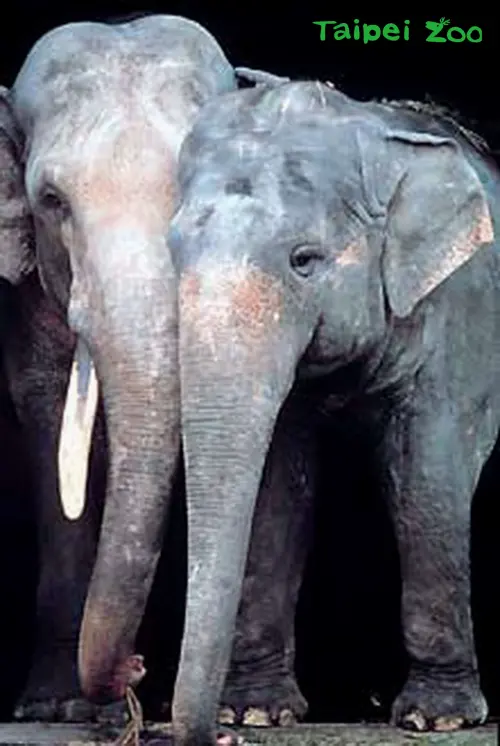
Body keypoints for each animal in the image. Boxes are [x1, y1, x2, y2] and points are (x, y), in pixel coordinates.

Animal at [132, 78, 498, 745]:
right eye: (172, 253)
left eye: (305, 260)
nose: (144, 675)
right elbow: (280, 487)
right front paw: (253, 712)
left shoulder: (462, 307)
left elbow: (427, 477)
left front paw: (438, 719)